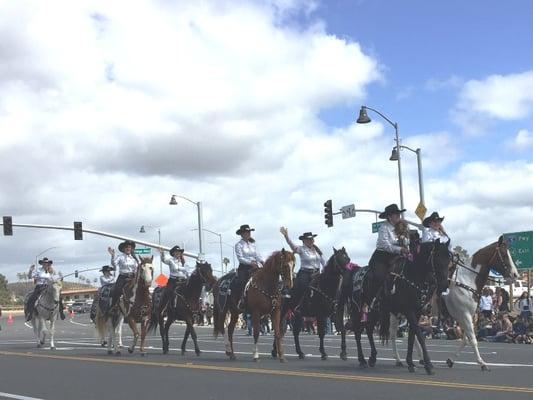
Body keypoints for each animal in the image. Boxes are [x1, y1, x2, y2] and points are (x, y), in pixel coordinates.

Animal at [376, 239, 450, 374]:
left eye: (449, 259)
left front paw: (410, 362)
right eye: (437, 259)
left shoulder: (416, 312)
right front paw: (428, 364)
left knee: (393, 333)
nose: (444, 285)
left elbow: (412, 336)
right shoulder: (409, 311)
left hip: (394, 314)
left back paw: (398, 360)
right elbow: (419, 336)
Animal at [442, 236, 516, 370]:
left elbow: (466, 339)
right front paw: (481, 362)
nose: (515, 274)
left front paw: (452, 359)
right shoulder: (464, 315)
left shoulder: (467, 316)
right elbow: (473, 339)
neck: (467, 280)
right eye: (503, 254)